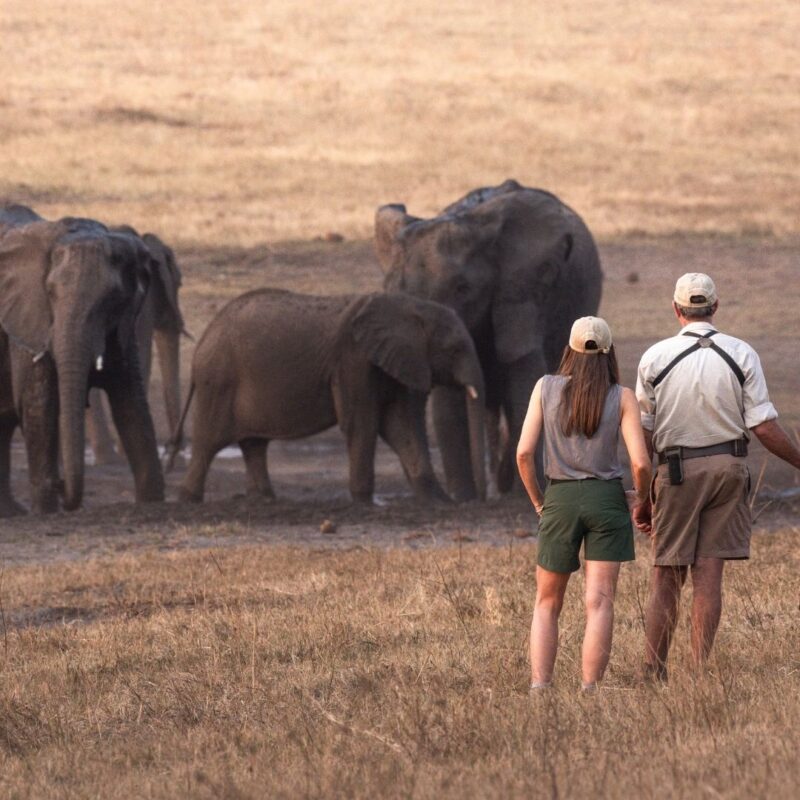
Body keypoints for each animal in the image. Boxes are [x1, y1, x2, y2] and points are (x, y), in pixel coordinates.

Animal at [0, 206, 165, 515]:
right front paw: (46, 512)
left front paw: (153, 502)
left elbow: (132, 405)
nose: (60, 483)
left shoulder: (122, 327)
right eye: (50, 293)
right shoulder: (28, 319)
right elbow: (39, 406)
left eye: (112, 299)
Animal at [169, 289, 486, 505]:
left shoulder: (395, 362)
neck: (408, 306)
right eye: (455, 349)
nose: (476, 500)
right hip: (218, 383)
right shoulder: (353, 359)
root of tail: (202, 341)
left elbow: (400, 426)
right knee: (209, 442)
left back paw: (265, 499)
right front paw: (363, 501)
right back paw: (188, 499)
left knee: (253, 444)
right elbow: (362, 423)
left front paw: (438, 501)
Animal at [375, 179, 603, 499]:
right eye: (393, 291)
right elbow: (448, 405)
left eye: (462, 288)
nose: (482, 496)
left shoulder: (523, 293)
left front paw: (520, 495)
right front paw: (464, 498)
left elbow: (524, 384)